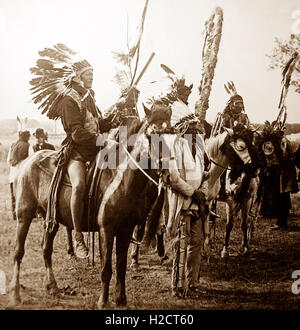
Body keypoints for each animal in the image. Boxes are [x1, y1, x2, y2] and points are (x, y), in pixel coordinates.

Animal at [8, 106, 172, 310]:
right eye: (152, 134)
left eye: (172, 132)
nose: (168, 170)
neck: (122, 179)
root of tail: (29, 160)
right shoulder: (106, 229)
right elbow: (106, 268)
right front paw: (103, 301)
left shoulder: (126, 229)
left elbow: (121, 267)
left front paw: (121, 300)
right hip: (24, 214)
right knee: (18, 252)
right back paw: (15, 294)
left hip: (50, 219)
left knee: (46, 249)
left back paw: (52, 287)